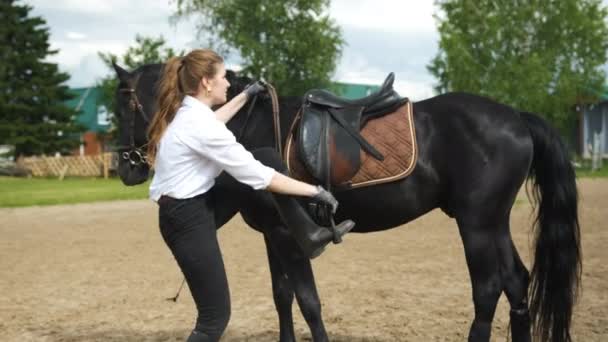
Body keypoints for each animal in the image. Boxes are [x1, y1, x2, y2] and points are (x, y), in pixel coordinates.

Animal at [111, 62, 580, 342]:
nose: (124, 166)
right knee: (517, 283)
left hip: (476, 224)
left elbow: (308, 301)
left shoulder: (287, 236)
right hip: (495, 221)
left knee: (487, 291)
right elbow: (283, 297)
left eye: (121, 102)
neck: (254, 126)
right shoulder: (273, 236)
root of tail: (516, 117)